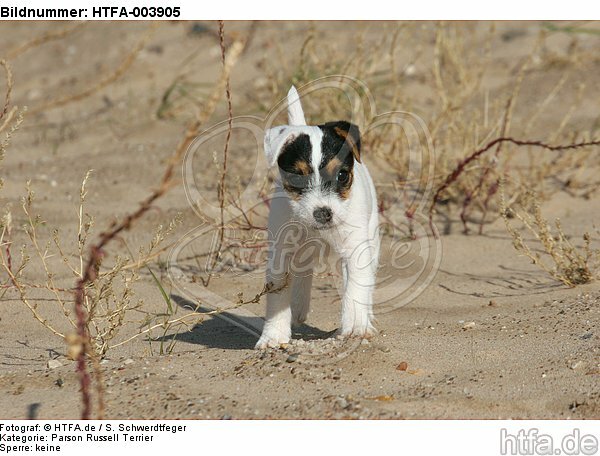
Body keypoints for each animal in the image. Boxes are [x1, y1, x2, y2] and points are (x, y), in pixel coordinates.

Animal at [254, 86, 380, 350]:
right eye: (296, 177)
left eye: (342, 175)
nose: (323, 212)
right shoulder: (280, 255)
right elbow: (278, 296)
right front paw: (273, 336)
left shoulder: (356, 251)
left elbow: (355, 289)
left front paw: (356, 326)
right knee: (303, 273)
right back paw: (299, 306)